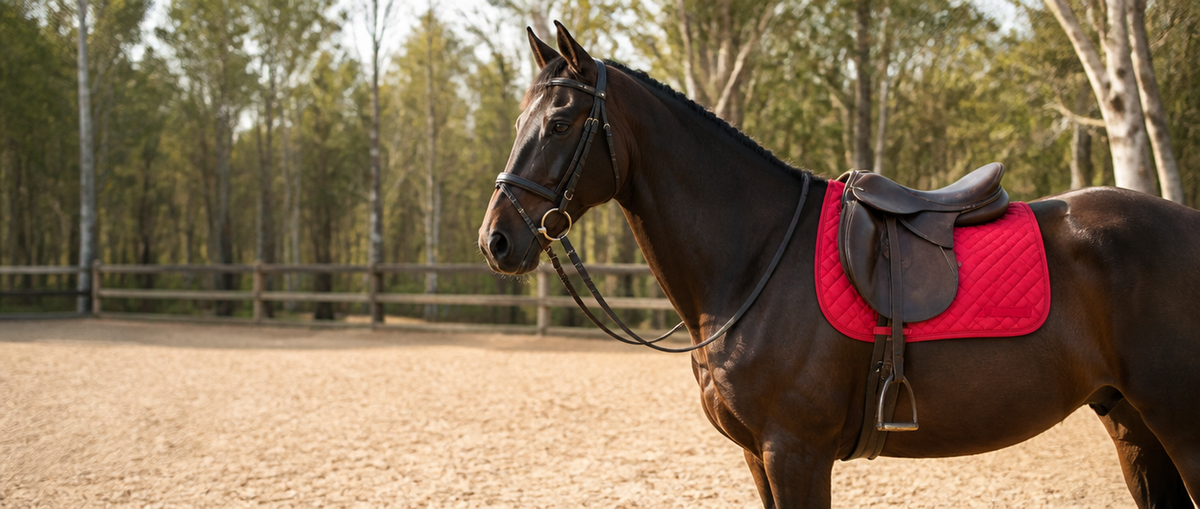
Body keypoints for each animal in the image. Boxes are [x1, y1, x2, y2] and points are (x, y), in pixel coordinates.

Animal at [476, 22, 1200, 508]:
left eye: (562, 122)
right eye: (519, 121)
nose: (496, 241)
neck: (756, 259)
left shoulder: (794, 452)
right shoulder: (758, 456)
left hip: (1180, 426)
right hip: (1132, 424)